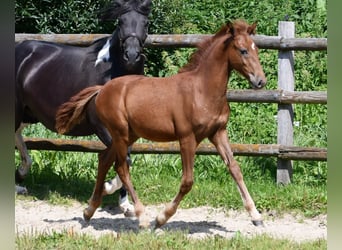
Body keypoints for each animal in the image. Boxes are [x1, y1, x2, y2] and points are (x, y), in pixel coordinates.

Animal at [56, 20, 268, 229]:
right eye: (243, 50)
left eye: (256, 49)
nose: (260, 81)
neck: (202, 91)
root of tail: (102, 89)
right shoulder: (187, 138)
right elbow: (187, 181)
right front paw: (161, 219)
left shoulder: (218, 132)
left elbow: (235, 169)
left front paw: (256, 217)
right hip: (120, 134)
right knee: (121, 168)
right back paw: (141, 217)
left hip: (128, 135)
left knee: (104, 159)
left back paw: (90, 210)